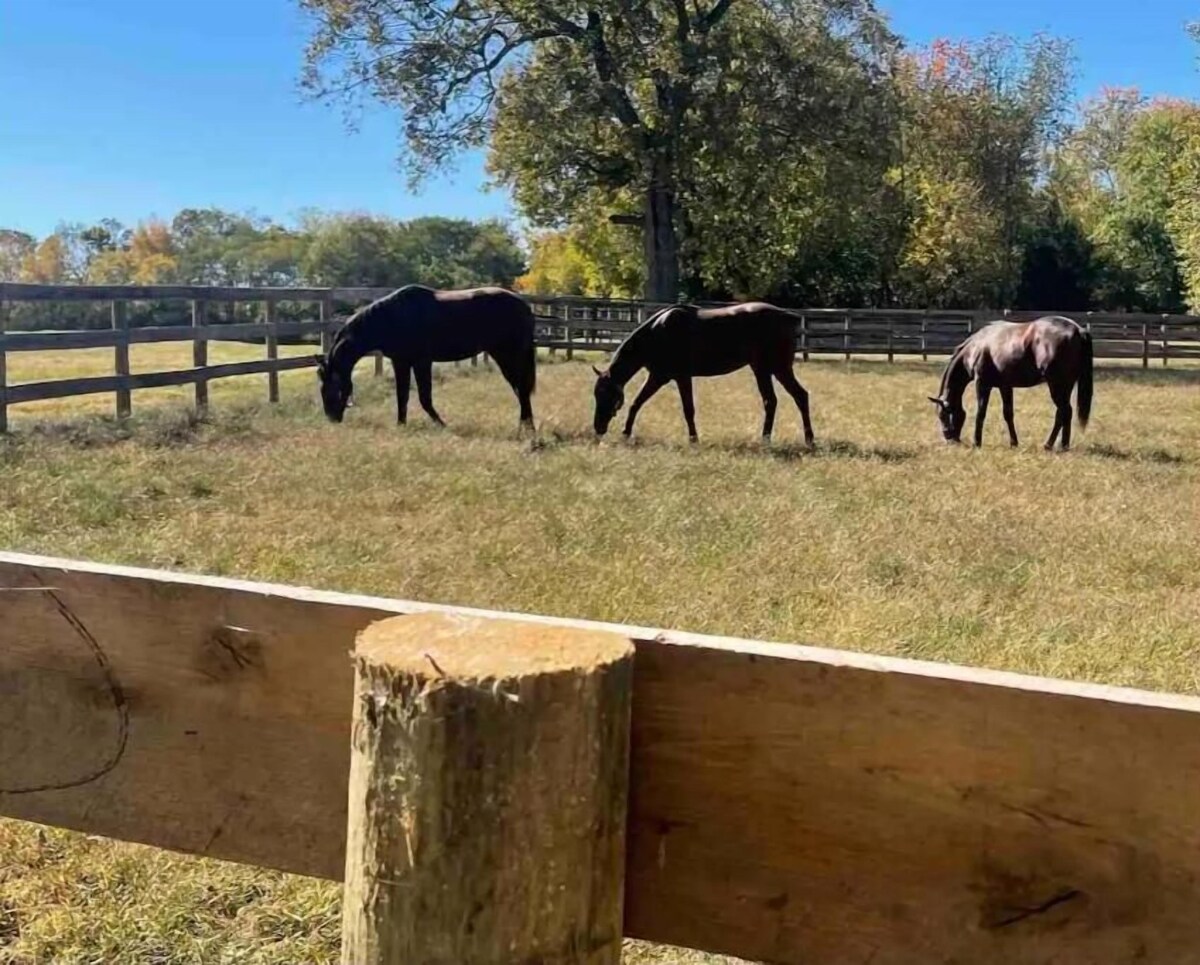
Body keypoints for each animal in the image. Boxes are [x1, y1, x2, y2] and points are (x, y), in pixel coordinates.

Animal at [316, 283, 537, 424]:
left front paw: (441, 424)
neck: (393, 318)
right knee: (520, 390)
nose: (332, 418)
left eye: (331, 389)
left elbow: (424, 397)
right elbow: (402, 395)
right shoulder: (401, 361)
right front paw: (401, 425)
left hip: (508, 355)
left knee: (521, 389)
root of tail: (525, 306)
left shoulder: (421, 362)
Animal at [590, 301, 816, 444]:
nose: (598, 428)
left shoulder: (680, 377)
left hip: (773, 368)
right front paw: (626, 433)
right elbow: (637, 403)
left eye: (605, 394)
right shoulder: (658, 376)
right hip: (767, 369)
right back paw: (789, 439)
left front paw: (694, 439)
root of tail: (787, 315)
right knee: (786, 398)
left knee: (786, 398)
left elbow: (688, 409)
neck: (658, 332)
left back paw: (791, 439)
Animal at [926, 316, 1099, 451]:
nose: (949, 438)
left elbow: (981, 413)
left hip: (1056, 385)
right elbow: (1008, 414)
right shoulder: (1005, 386)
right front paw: (1014, 443)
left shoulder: (982, 384)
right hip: (1065, 386)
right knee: (1065, 413)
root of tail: (1078, 330)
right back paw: (1063, 445)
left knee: (1063, 411)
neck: (976, 347)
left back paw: (1050, 445)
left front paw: (977, 443)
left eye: (943, 415)